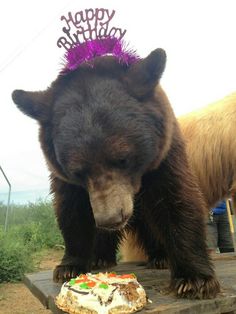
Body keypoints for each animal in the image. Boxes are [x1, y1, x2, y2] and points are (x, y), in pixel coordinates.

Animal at [12, 47, 219, 298]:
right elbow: (71, 209)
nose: (110, 218)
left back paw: (160, 256)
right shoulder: (63, 177)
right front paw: (69, 266)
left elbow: (176, 198)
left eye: (123, 159)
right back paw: (100, 257)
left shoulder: (164, 154)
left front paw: (194, 279)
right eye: (78, 171)